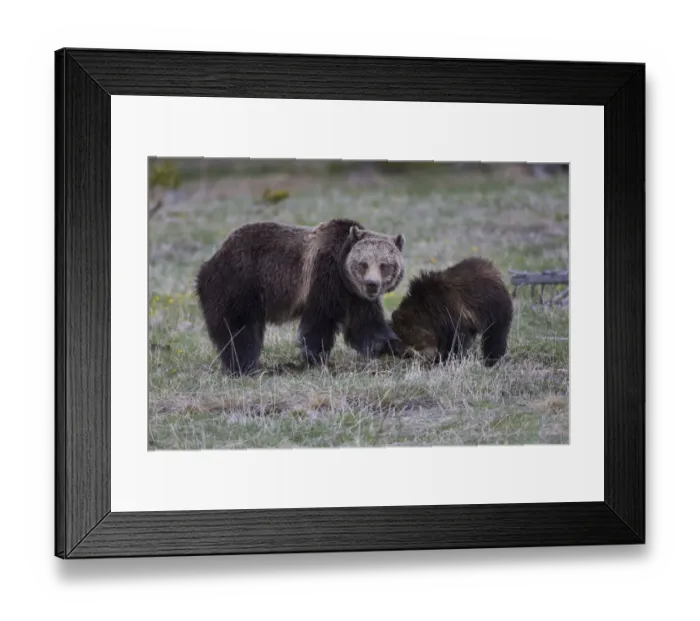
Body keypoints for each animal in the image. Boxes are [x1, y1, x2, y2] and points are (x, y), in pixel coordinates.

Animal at [195, 218, 407, 375]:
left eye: (384, 265)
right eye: (363, 263)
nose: (372, 284)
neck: (343, 276)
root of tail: (213, 258)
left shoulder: (357, 298)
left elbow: (366, 327)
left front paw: (394, 346)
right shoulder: (324, 278)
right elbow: (319, 322)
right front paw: (317, 359)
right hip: (239, 284)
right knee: (238, 330)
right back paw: (244, 367)